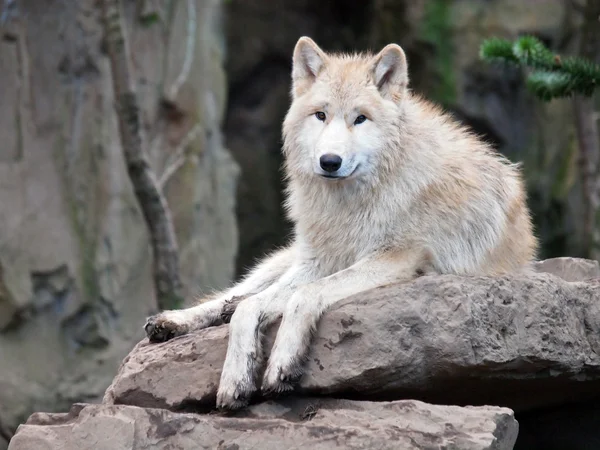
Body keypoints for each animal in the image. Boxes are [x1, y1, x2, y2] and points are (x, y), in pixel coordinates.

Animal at [145, 36, 540, 408]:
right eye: (320, 115)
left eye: (360, 118)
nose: (329, 161)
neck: (353, 203)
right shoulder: (318, 261)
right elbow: (248, 309)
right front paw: (235, 379)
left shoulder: (395, 259)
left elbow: (301, 296)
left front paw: (281, 364)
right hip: (288, 258)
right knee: (236, 295)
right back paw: (171, 321)